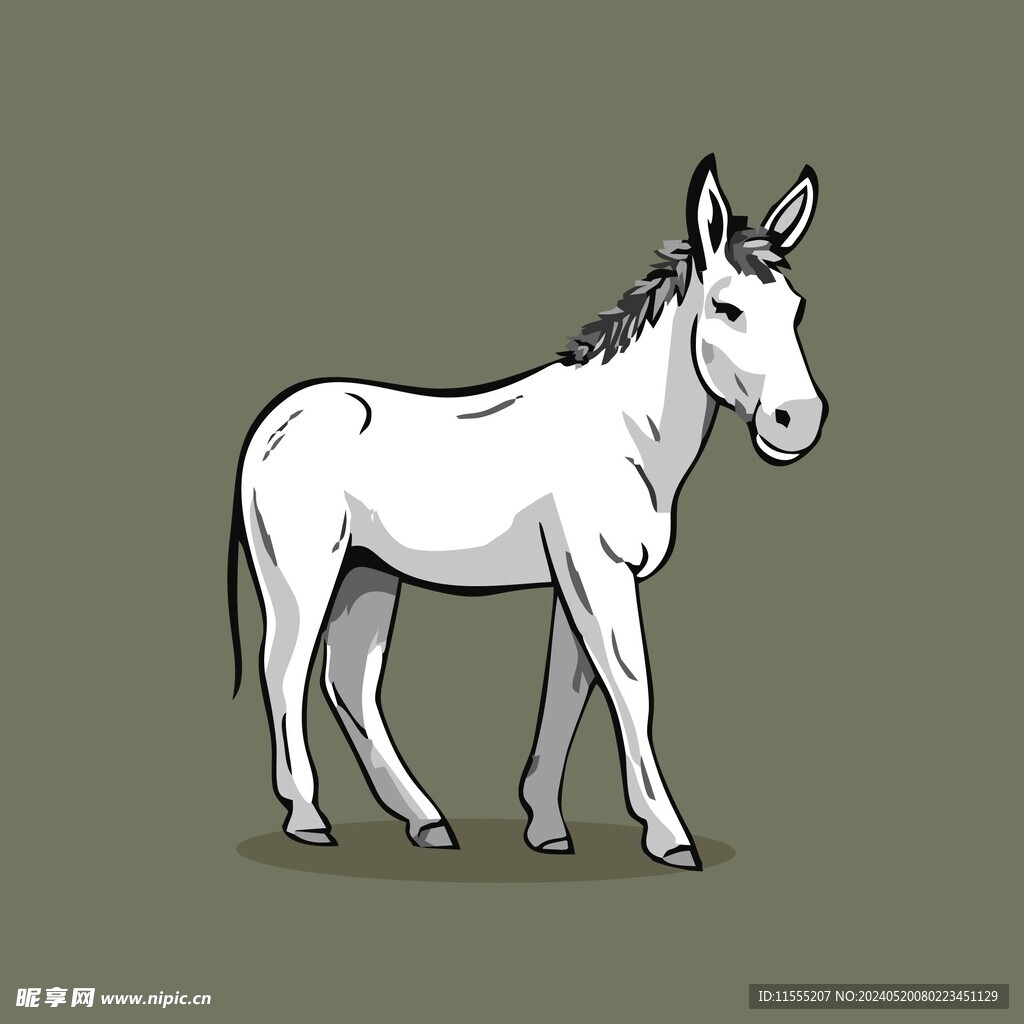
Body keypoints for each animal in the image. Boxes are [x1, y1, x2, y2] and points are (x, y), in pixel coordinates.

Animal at [227, 154, 827, 870]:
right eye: (728, 308)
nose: (798, 422)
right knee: (283, 673)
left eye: (796, 310)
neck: (623, 430)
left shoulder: (579, 576)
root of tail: (275, 420)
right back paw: (308, 819)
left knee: (349, 685)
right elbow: (632, 687)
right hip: (303, 573)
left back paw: (426, 822)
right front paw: (669, 836)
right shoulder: (598, 571)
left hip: (368, 573)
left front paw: (545, 827)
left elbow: (568, 694)